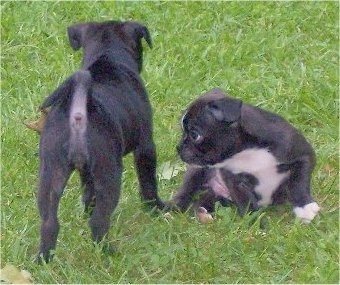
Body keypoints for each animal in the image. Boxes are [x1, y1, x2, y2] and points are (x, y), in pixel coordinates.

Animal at [36, 20, 164, 262]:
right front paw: (156, 208)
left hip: (51, 172)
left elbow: (88, 192)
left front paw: (86, 209)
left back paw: (43, 259)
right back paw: (109, 252)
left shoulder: (86, 171)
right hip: (109, 173)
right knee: (99, 222)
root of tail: (78, 113)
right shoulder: (145, 146)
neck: (108, 56)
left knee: (49, 223)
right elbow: (148, 182)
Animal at [171, 87, 320, 223]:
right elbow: (247, 205)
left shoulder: (303, 156)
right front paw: (257, 226)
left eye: (194, 135)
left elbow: (298, 183)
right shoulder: (236, 183)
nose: (178, 147)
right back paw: (173, 208)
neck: (247, 151)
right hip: (197, 172)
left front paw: (304, 207)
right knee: (186, 192)